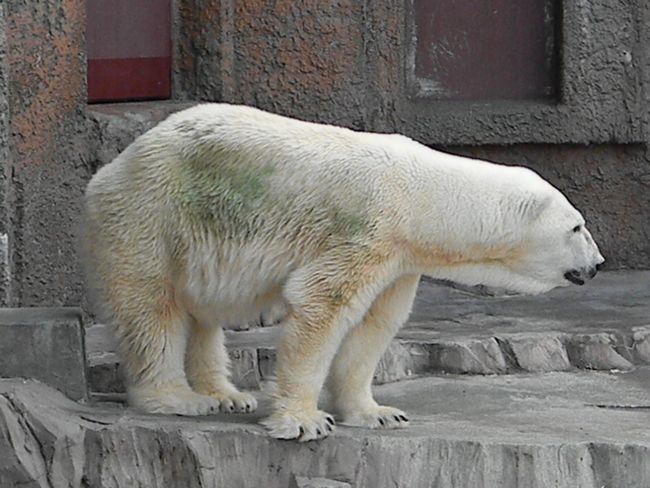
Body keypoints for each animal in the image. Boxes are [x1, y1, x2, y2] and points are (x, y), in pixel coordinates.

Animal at [83, 104, 604, 442]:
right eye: (577, 226)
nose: (598, 265)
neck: (419, 195)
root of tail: (113, 166)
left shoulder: (399, 257)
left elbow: (373, 326)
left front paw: (377, 412)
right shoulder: (366, 230)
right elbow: (323, 304)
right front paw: (304, 421)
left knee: (202, 313)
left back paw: (226, 395)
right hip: (153, 216)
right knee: (152, 307)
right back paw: (178, 398)